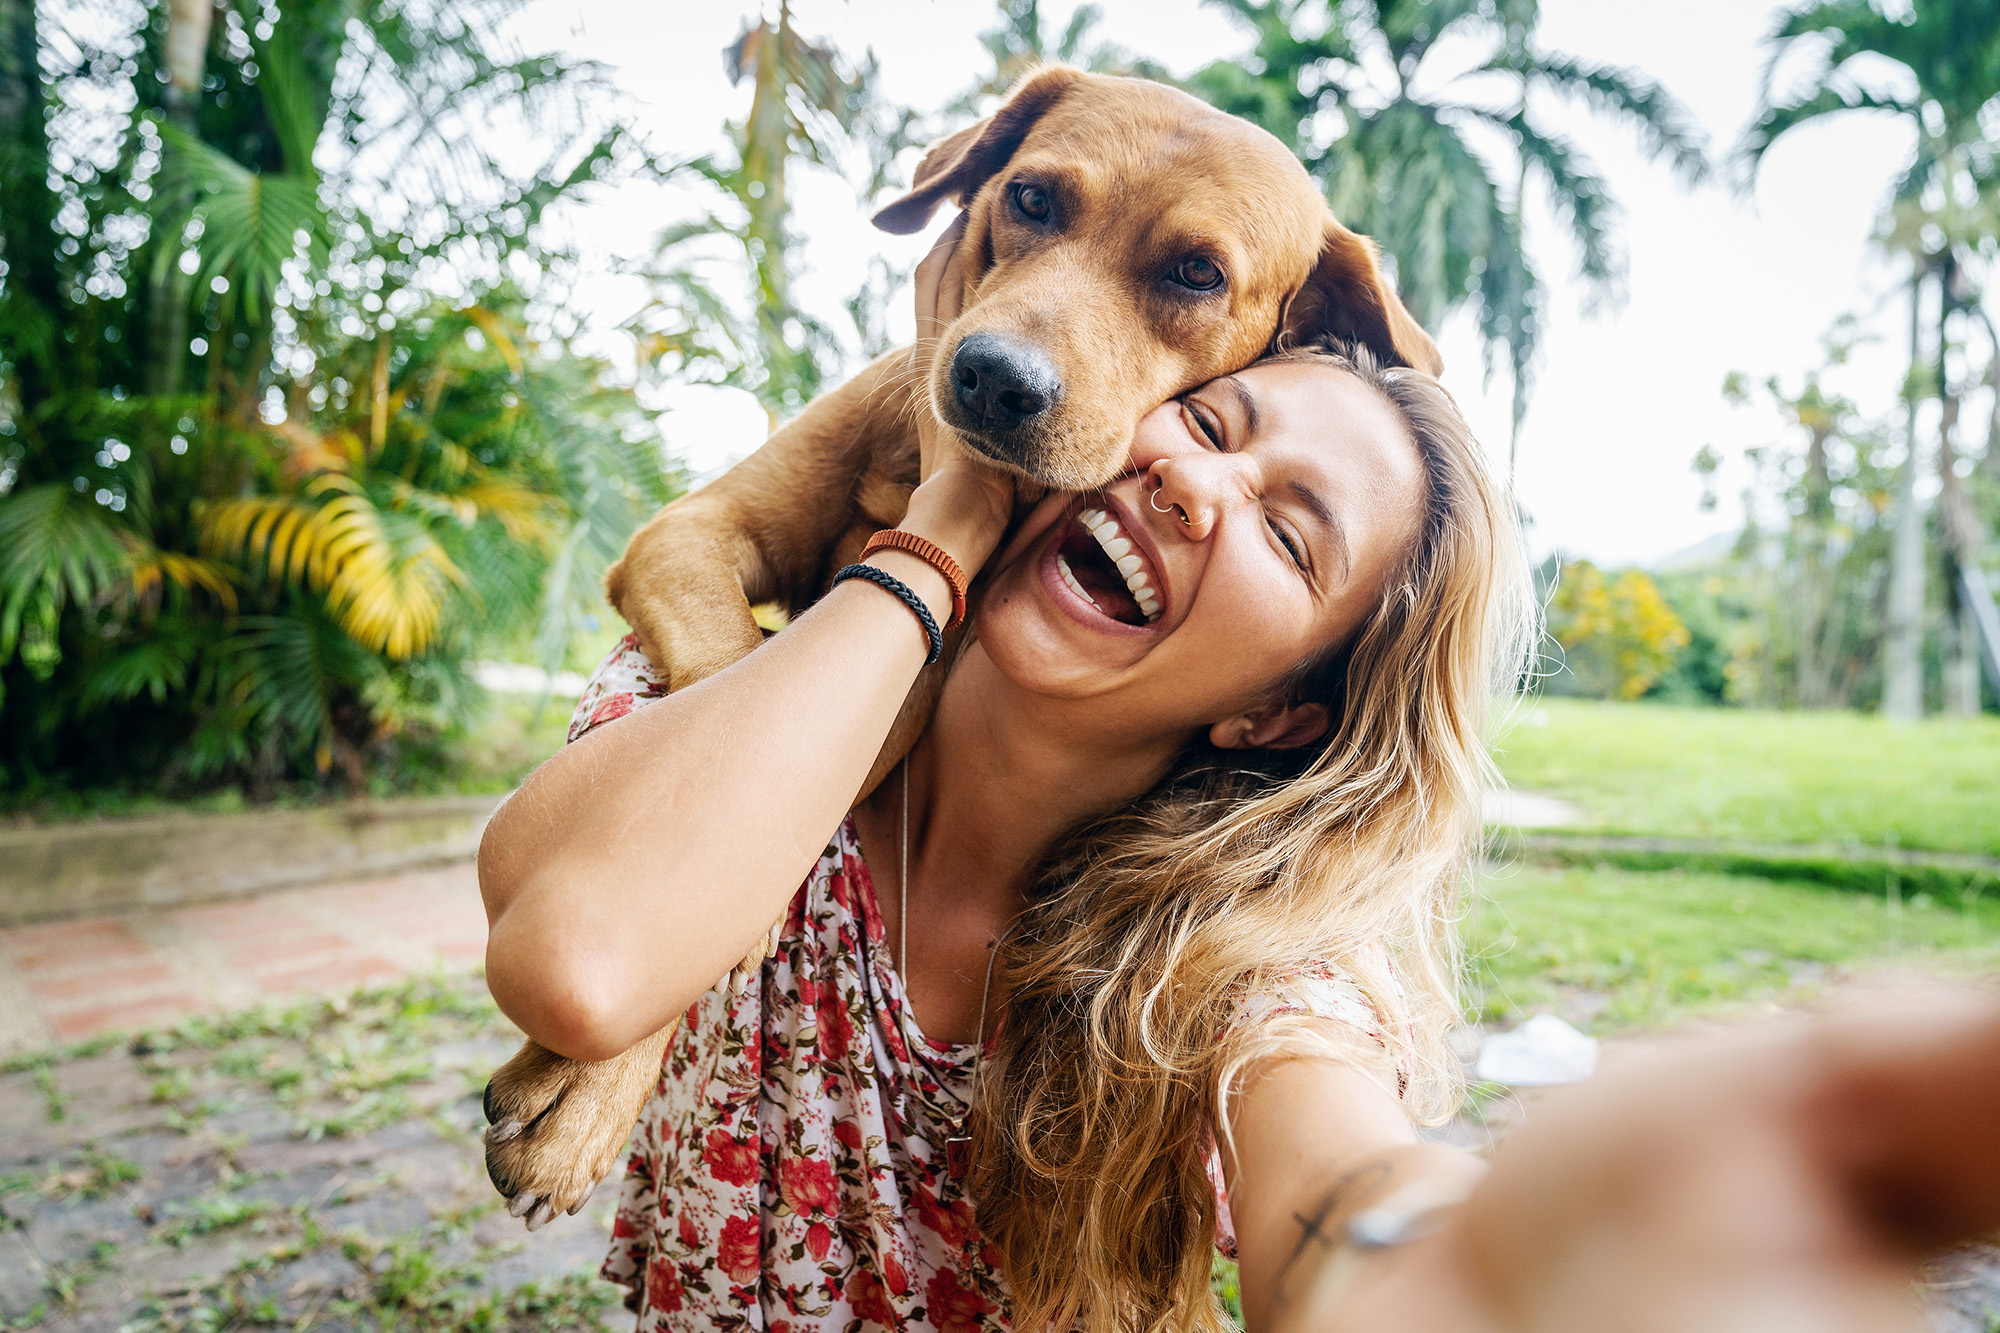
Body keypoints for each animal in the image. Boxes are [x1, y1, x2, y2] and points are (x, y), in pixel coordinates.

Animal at [482, 62, 1440, 1224]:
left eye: (1197, 272)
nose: (993, 377)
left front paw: (582, 1092)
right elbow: (723, 674)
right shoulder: (691, 533)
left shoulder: (911, 675)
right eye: (1031, 198)